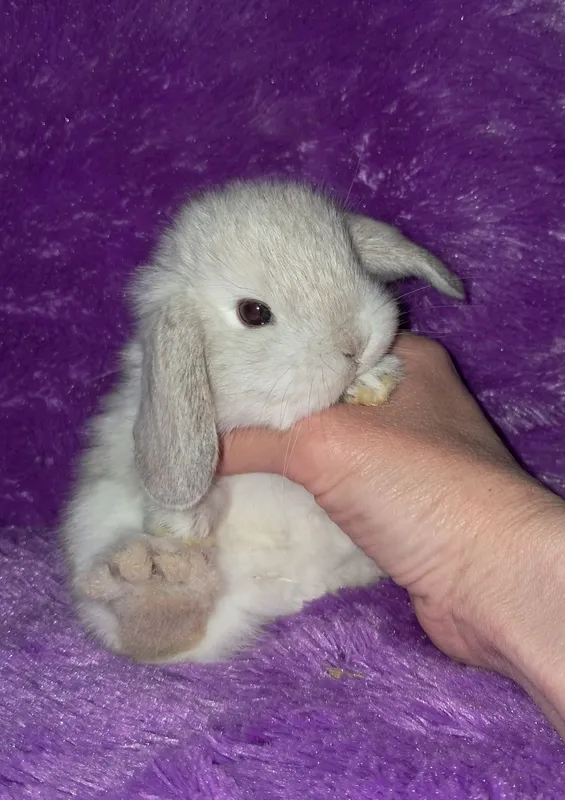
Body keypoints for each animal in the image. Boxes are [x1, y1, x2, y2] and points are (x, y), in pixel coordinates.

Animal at [62, 180, 463, 664]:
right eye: (253, 313)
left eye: (351, 261)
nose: (354, 343)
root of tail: (291, 590)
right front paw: (181, 523)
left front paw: (374, 379)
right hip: (93, 519)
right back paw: (154, 583)